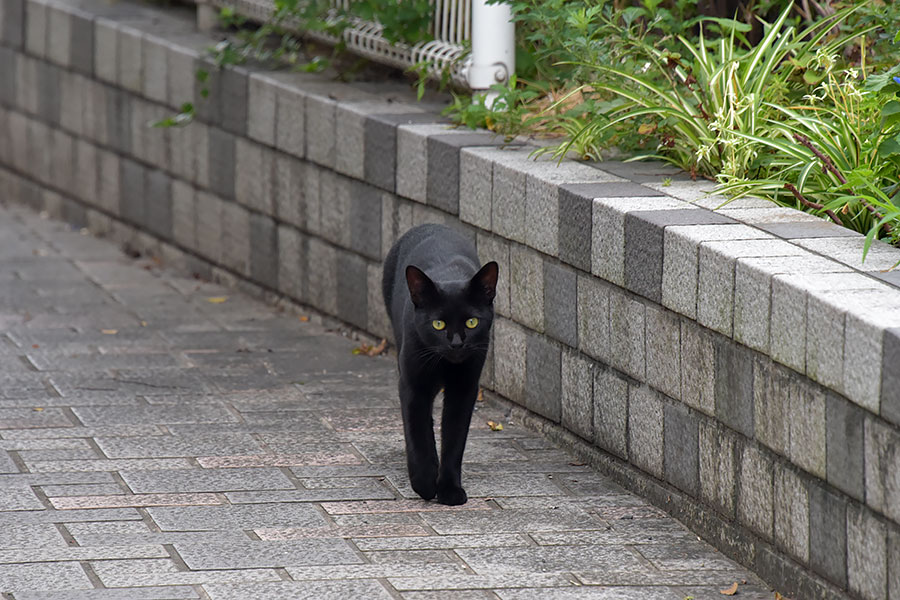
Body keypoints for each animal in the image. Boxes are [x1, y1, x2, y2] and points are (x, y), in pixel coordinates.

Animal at [382, 223, 500, 504]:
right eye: (438, 324)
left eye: (471, 322)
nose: (456, 343)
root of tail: (431, 224)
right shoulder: (413, 386)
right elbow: (418, 434)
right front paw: (425, 483)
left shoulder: (464, 388)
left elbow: (454, 438)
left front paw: (449, 489)